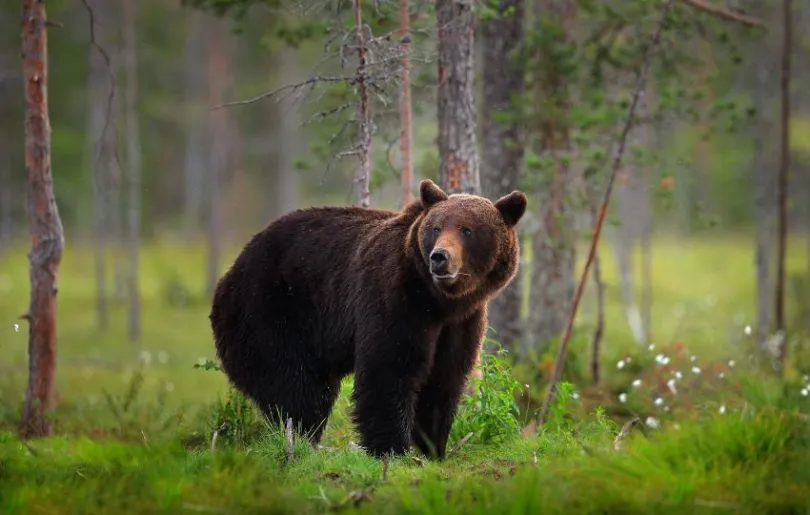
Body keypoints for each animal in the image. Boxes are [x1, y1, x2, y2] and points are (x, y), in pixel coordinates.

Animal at [208, 180, 524, 460]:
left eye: (467, 230)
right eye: (436, 228)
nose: (439, 257)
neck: (439, 301)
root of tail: (229, 274)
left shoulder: (462, 323)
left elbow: (443, 378)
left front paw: (433, 446)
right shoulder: (393, 298)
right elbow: (388, 368)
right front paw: (392, 449)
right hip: (271, 309)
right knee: (295, 387)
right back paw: (299, 438)